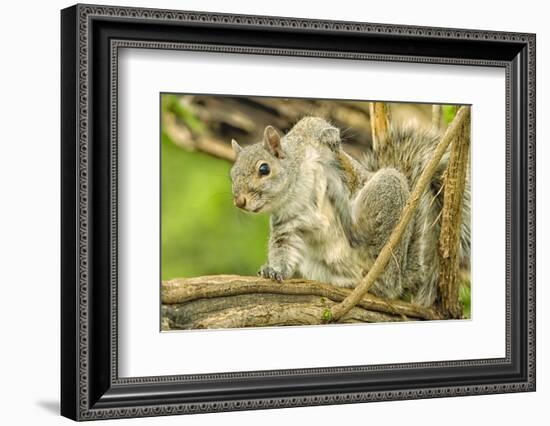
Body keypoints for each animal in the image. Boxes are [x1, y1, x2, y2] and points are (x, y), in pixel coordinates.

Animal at [231, 115, 472, 306]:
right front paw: (274, 270)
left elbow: (314, 125)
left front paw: (331, 138)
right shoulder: (287, 222)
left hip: (387, 196)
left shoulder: (308, 138)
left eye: (264, 169)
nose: (239, 201)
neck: (295, 190)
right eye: (232, 175)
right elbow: (284, 248)